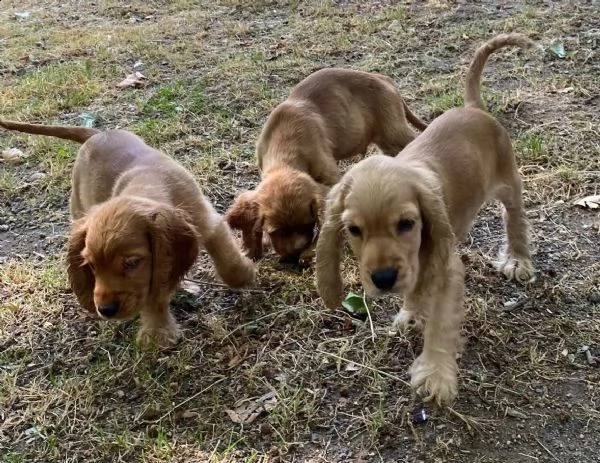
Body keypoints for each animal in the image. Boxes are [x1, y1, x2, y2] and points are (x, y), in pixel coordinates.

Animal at [0, 119, 255, 348]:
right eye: (91, 266)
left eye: (131, 262)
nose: (105, 310)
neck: (151, 185)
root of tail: (97, 134)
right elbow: (153, 294)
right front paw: (158, 333)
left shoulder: (209, 223)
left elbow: (228, 259)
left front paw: (243, 275)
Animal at [225, 67, 426, 266]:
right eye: (277, 231)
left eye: (307, 224)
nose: (294, 254)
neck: (284, 149)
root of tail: (383, 78)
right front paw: (251, 249)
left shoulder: (328, 176)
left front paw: (310, 252)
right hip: (386, 141)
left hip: (394, 131)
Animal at [314, 33, 540, 406]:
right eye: (354, 230)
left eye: (406, 224)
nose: (383, 279)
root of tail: (473, 107)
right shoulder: (415, 263)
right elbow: (415, 287)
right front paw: (411, 313)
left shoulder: (446, 268)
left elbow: (441, 323)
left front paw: (435, 375)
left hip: (509, 183)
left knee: (516, 218)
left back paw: (517, 259)